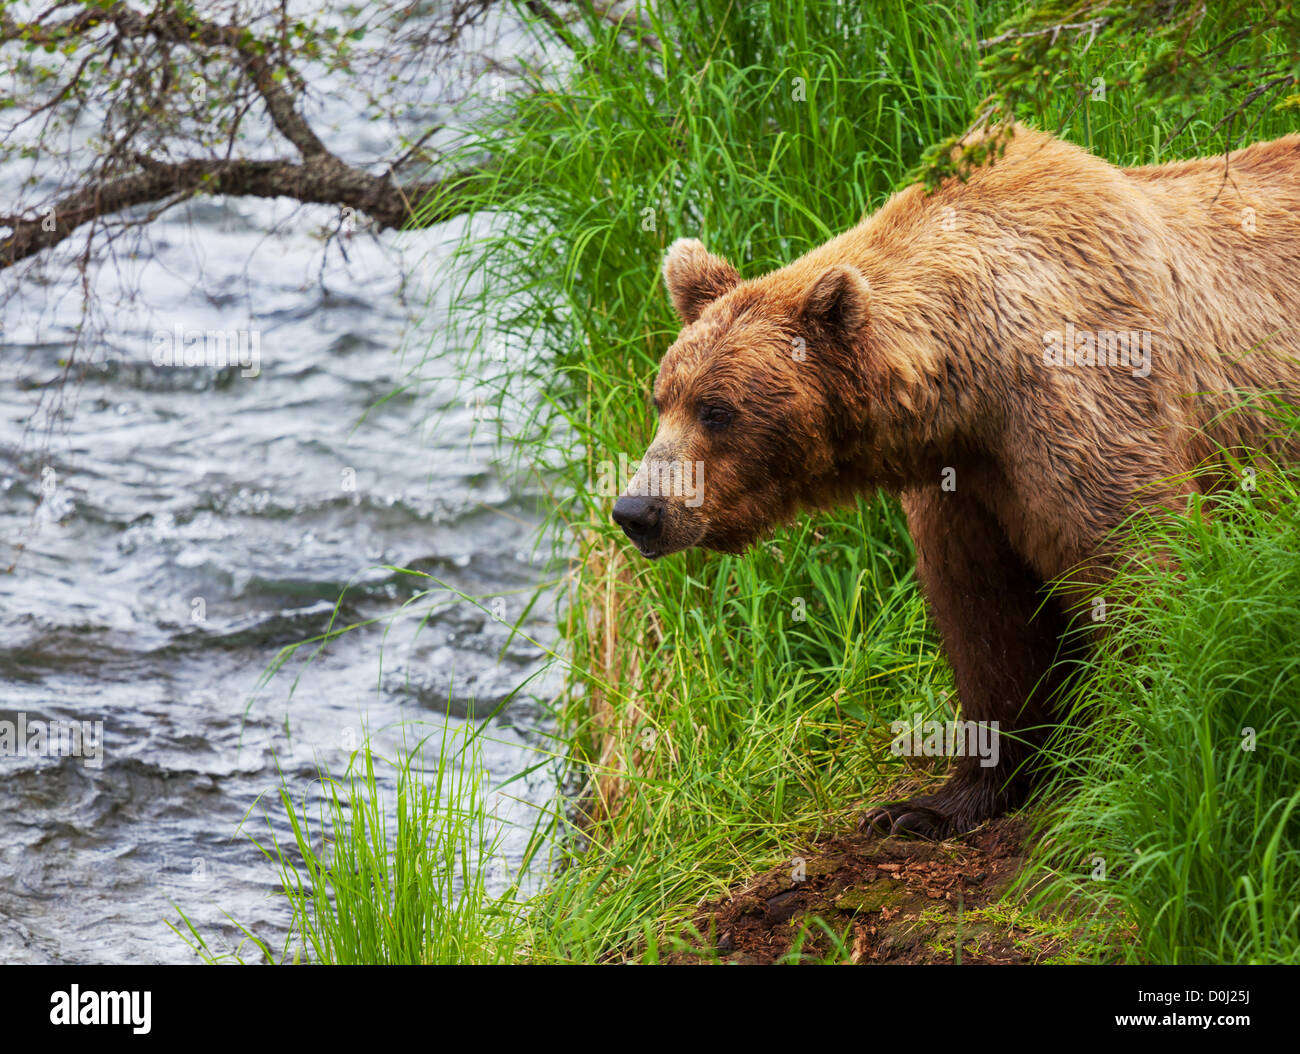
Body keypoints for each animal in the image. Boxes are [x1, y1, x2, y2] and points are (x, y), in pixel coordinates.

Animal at [612, 123, 1300, 839]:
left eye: (717, 410)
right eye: (662, 399)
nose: (637, 509)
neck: (973, 387)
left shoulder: (1084, 405)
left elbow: (1140, 562)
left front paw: (1142, 751)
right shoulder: (967, 485)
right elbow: (986, 620)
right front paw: (934, 803)